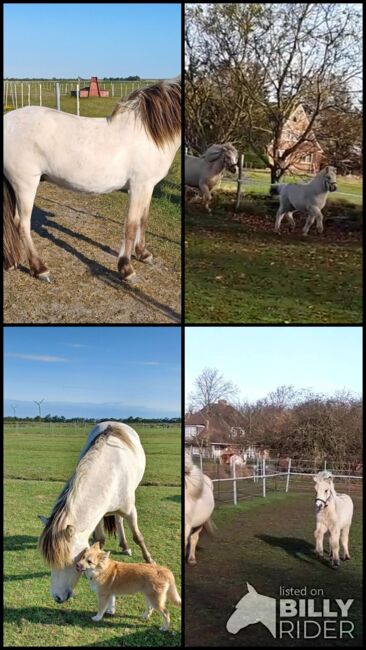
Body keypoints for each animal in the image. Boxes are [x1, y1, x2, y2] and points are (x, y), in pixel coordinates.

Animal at [2, 77, 180, 280]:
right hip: (25, 184)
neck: (149, 135)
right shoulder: (138, 187)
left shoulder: (148, 187)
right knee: (21, 224)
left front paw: (143, 254)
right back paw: (40, 269)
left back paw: (12, 263)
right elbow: (131, 226)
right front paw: (126, 268)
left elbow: (143, 220)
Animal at [36, 420, 152, 604]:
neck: (110, 474)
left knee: (120, 520)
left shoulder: (130, 510)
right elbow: (99, 539)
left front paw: (149, 560)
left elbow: (138, 536)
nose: (57, 597)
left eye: (69, 561)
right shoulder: (97, 515)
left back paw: (126, 547)